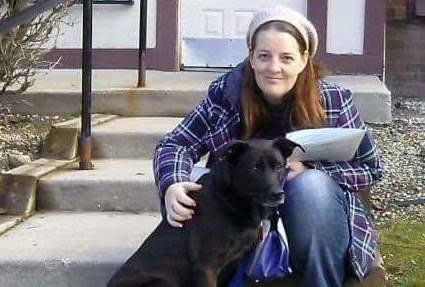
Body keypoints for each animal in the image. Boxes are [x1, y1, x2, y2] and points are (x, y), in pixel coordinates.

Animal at [107, 138, 300, 286]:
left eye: (279, 166)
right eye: (254, 168)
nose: (278, 194)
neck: (230, 199)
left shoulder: (232, 265)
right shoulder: (206, 266)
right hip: (164, 282)